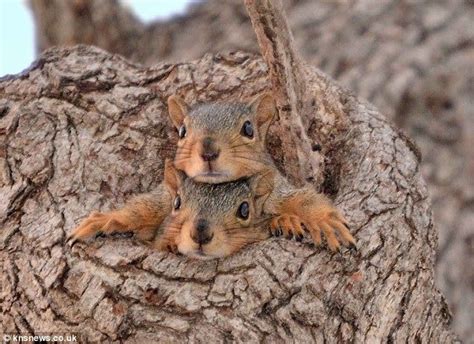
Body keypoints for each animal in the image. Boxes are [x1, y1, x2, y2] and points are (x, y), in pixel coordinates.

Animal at [67, 92, 356, 254]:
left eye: (249, 129)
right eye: (182, 131)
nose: (207, 151)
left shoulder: (277, 187)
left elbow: (302, 199)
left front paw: (319, 220)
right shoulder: (165, 196)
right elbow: (143, 207)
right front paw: (106, 219)